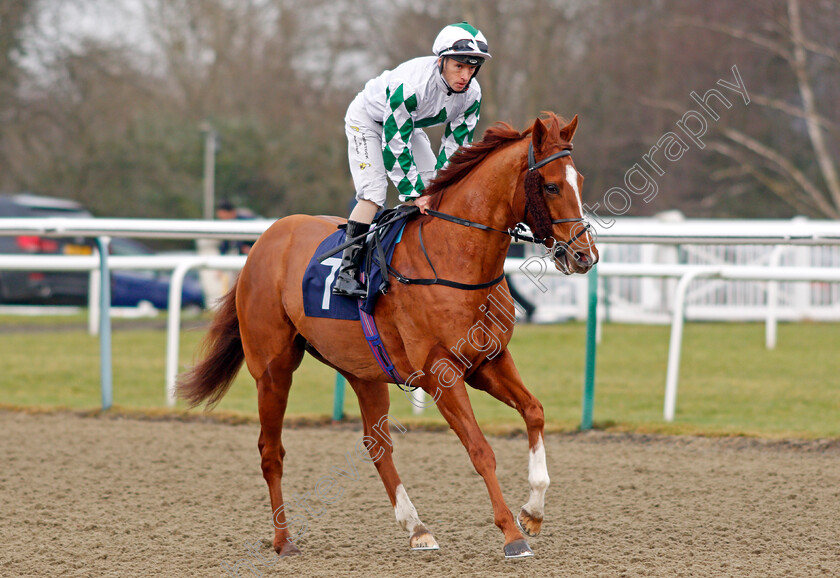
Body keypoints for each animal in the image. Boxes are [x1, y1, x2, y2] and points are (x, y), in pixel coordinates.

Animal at [177, 112, 596, 560]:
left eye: (579, 179)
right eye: (551, 185)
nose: (585, 255)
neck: (455, 258)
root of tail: (263, 242)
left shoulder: (489, 360)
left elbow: (534, 411)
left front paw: (532, 513)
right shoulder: (440, 372)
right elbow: (481, 450)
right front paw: (511, 535)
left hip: (363, 371)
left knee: (377, 446)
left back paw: (417, 528)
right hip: (273, 369)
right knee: (271, 451)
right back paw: (283, 540)